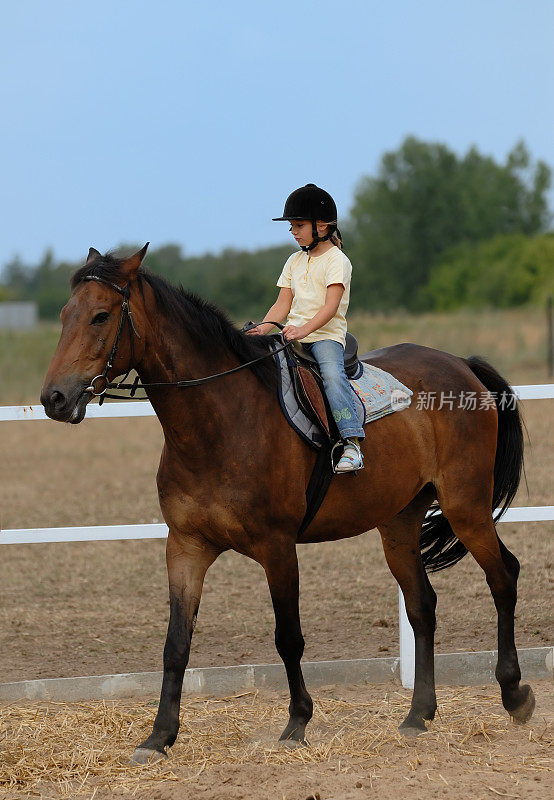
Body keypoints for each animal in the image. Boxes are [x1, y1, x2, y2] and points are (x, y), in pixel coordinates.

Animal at [41, 245, 532, 764]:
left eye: (100, 316)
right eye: (65, 315)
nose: (54, 398)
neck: (221, 421)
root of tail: (461, 365)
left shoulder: (277, 547)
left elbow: (287, 637)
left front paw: (297, 722)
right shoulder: (186, 546)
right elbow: (176, 643)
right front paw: (159, 737)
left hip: (466, 508)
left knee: (503, 577)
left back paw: (514, 694)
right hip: (399, 525)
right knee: (422, 606)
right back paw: (419, 715)